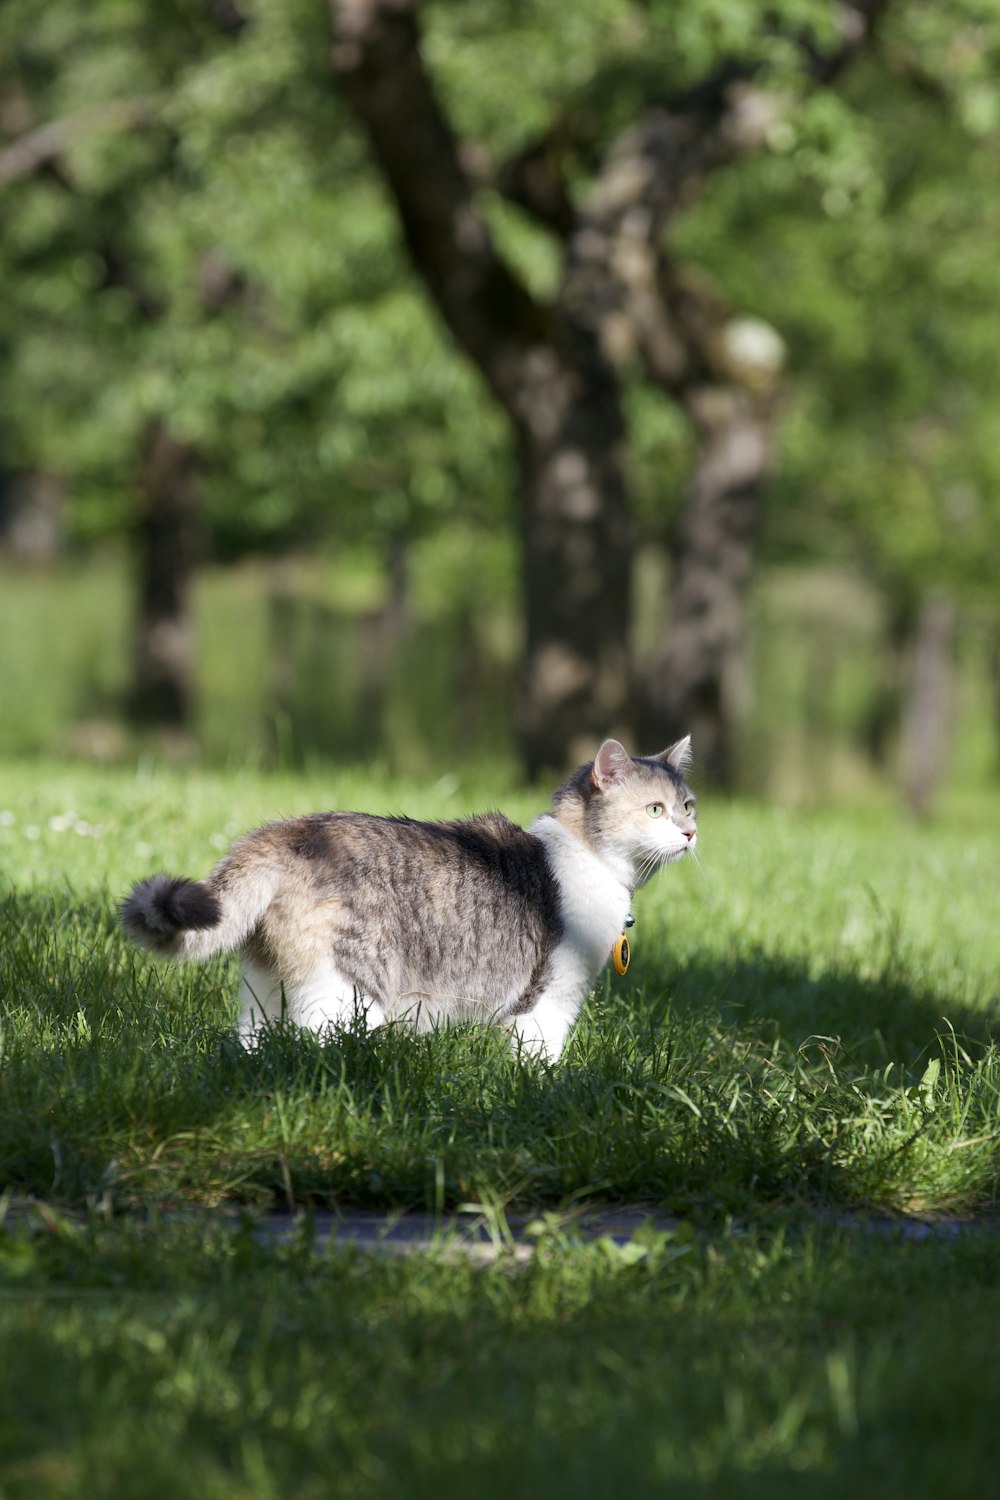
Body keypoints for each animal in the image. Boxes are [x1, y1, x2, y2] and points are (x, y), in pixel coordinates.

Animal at [119, 732, 695, 1062]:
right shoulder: (549, 1001)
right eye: (655, 810)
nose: (691, 833)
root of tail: (286, 830)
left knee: (255, 1044)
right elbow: (540, 1062)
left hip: (265, 988)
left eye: (687, 805)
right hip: (348, 994)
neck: (586, 860)